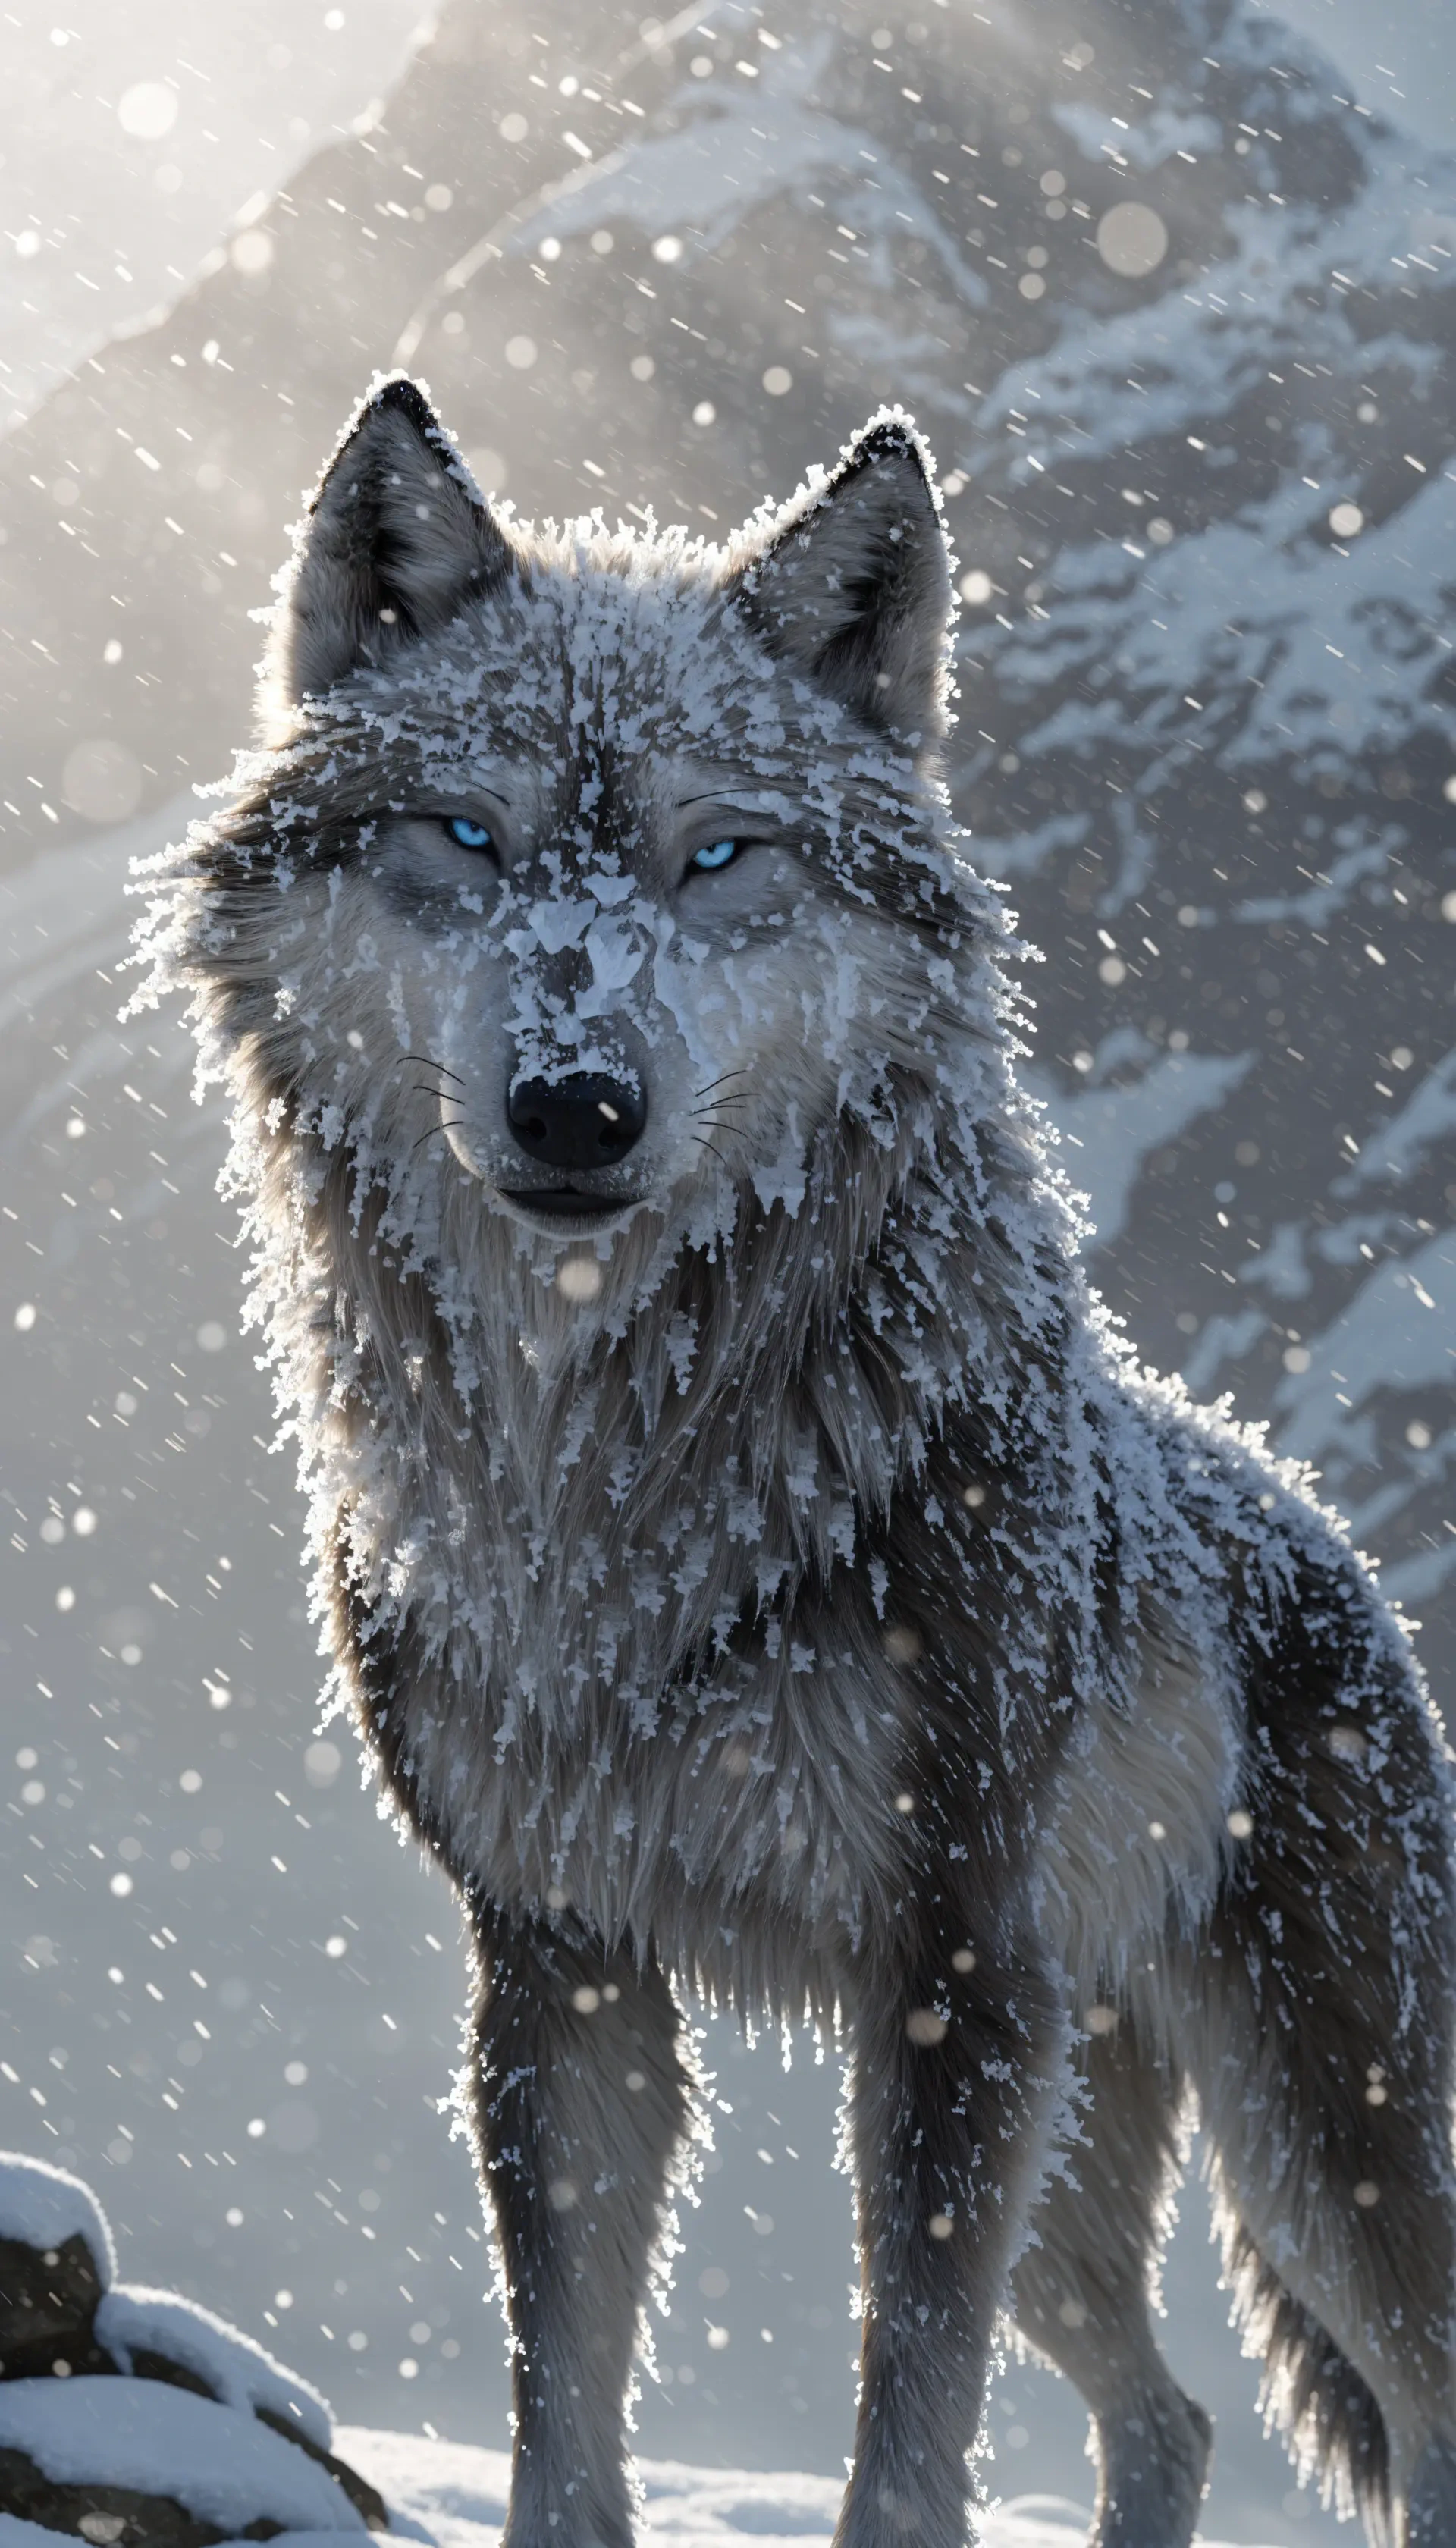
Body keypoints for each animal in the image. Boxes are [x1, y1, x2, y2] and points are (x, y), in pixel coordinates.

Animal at [135, 373, 1456, 2548]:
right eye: (469, 835)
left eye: (718, 852)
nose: (577, 1105)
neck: (620, 1483)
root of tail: (1315, 1530)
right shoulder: (560, 1965)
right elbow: (564, 2407)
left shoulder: (948, 1975)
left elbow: (903, 2443)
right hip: (1084, 2165)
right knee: (1172, 2416)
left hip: (1301, 2145)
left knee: (1410, 2406)